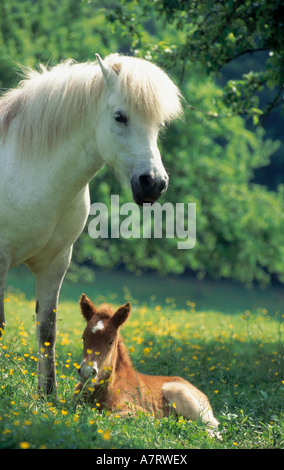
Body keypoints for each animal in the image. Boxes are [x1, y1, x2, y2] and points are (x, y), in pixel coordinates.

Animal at [0, 53, 182, 394]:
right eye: (120, 117)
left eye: (158, 124)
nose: (154, 183)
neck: (29, 169)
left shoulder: (56, 262)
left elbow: (47, 331)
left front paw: (48, 396)